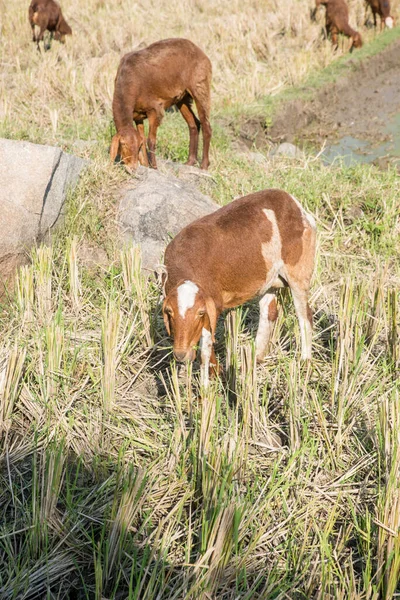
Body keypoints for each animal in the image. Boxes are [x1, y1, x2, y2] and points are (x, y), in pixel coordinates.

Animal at [110, 38, 212, 172]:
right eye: (123, 144)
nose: (132, 168)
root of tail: (200, 52)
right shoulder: (137, 116)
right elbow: (143, 138)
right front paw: (146, 165)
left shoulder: (155, 109)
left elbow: (150, 140)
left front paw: (154, 167)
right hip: (182, 98)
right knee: (194, 124)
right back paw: (190, 162)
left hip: (200, 86)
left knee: (206, 125)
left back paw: (204, 165)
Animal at [161, 189, 318, 390]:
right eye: (169, 313)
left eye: (200, 313)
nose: (180, 354)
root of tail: (295, 204)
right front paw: (216, 374)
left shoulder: (212, 304)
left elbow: (205, 347)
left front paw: (205, 388)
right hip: (269, 279)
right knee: (269, 312)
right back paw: (254, 359)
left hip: (299, 271)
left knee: (304, 317)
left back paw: (305, 362)